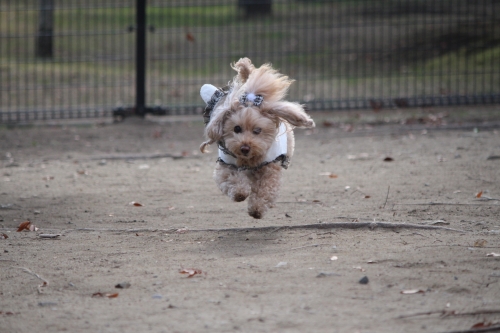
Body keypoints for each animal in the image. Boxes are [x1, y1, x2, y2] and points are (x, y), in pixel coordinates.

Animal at [198, 57, 312, 218]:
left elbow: (266, 189)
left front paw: (257, 209)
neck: (249, 160)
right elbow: (232, 180)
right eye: (237, 128)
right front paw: (240, 193)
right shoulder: (225, 165)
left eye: (257, 130)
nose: (245, 148)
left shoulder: (271, 167)